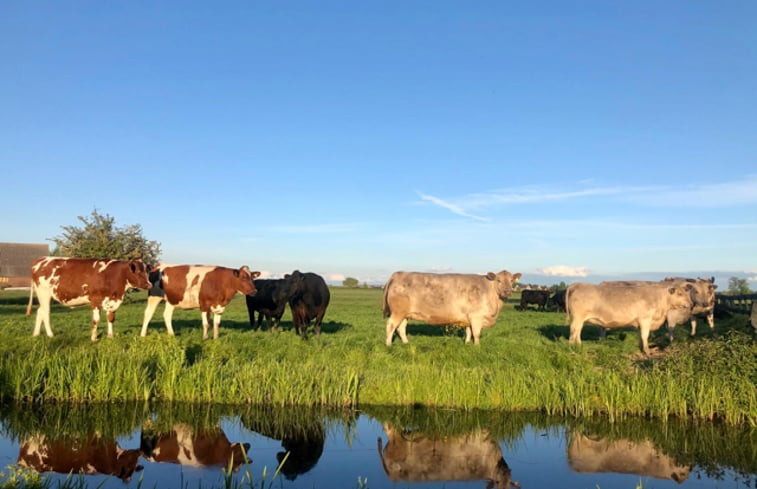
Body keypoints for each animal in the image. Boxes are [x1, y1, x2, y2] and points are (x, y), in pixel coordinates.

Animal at [380, 268, 524, 346]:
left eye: (511, 281)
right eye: (498, 280)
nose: (507, 291)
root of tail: (397, 274)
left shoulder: (468, 317)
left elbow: (468, 332)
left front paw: (467, 344)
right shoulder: (476, 317)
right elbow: (476, 333)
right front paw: (477, 346)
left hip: (405, 314)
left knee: (401, 328)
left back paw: (406, 343)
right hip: (397, 312)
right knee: (391, 325)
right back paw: (388, 344)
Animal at [564, 280, 692, 352]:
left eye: (685, 292)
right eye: (680, 293)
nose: (691, 303)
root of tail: (577, 284)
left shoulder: (640, 322)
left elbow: (640, 336)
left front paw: (641, 348)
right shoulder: (645, 319)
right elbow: (645, 336)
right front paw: (647, 351)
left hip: (580, 319)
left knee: (578, 331)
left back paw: (579, 345)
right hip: (578, 317)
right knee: (573, 330)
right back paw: (571, 348)